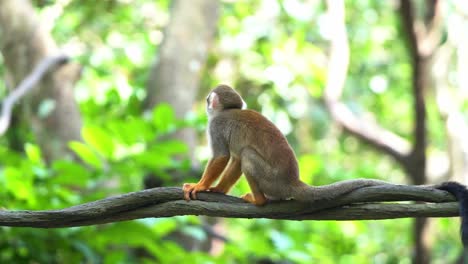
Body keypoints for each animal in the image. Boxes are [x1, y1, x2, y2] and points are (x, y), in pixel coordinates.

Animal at [183, 85, 468, 248]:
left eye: (209, 100)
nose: (206, 101)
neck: (225, 112)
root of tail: (294, 181)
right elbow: (232, 159)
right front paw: (218, 190)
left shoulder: (216, 125)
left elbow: (223, 156)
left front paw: (202, 186)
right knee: (243, 157)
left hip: (272, 178)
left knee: (248, 156)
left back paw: (260, 200)